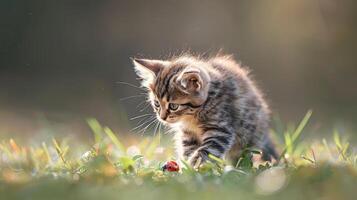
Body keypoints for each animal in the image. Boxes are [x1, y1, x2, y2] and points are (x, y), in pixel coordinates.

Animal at [131, 53, 278, 167]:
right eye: (156, 103)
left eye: (173, 106)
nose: (162, 117)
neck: (192, 117)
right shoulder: (188, 135)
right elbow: (188, 150)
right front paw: (188, 167)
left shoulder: (220, 129)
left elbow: (207, 150)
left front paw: (195, 164)